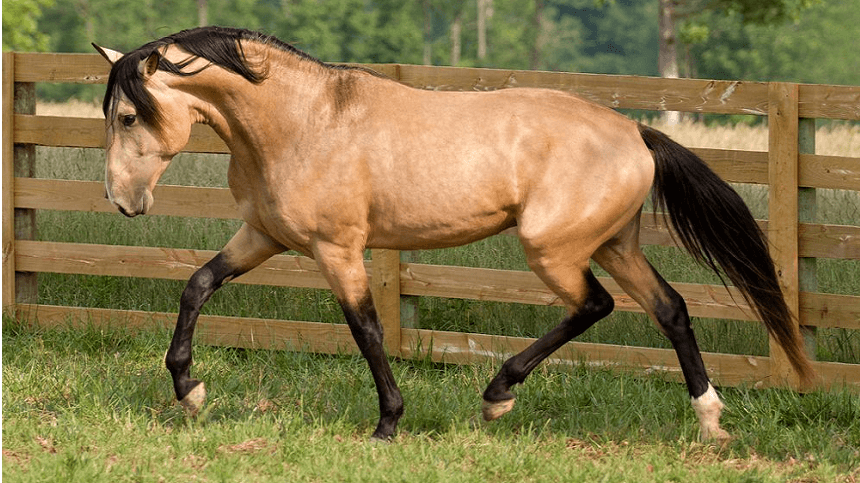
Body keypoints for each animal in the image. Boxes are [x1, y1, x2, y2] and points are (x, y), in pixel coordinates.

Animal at [94, 25, 812, 442]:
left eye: (128, 116)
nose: (122, 201)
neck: (301, 121)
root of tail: (635, 132)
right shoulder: (261, 236)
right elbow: (197, 285)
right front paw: (189, 390)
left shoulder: (338, 249)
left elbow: (367, 329)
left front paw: (388, 423)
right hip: (615, 244)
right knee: (670, 309)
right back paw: (710, 420)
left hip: (554, 249)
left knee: (595, 305)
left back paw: (498, 396)